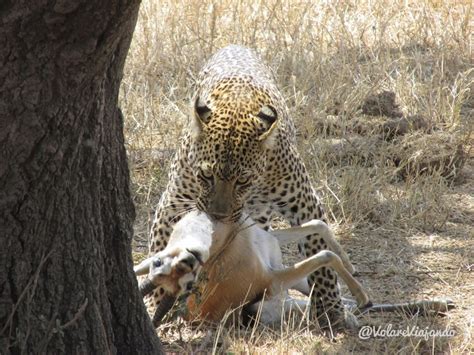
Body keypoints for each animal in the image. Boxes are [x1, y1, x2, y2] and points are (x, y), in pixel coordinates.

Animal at [146, 46, 350, 330]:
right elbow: (162, 244)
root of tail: (234, 45)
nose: (218, 216)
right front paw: (154, 302)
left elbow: (320, 256)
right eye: (206, 175)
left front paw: (331, 309)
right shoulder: (174, 202)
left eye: (242, 180)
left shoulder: (304, 202)